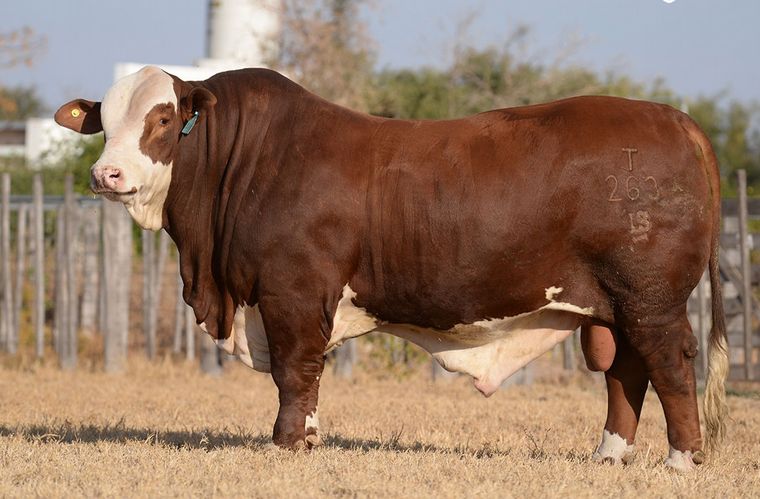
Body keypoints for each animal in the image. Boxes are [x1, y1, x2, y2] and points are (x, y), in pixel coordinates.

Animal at [55, 65, 732, 468]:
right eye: (104, 123)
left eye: (164, 118)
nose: (106, 175)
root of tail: (673, 118)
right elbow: (307, 377)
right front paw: (308, 438)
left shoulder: (292, 291)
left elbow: (296, 371)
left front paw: (286, 443)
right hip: (613, 305)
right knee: (626, 371)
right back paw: (609, 456)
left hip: (651, 298)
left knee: (670, 362)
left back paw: (682, 460)